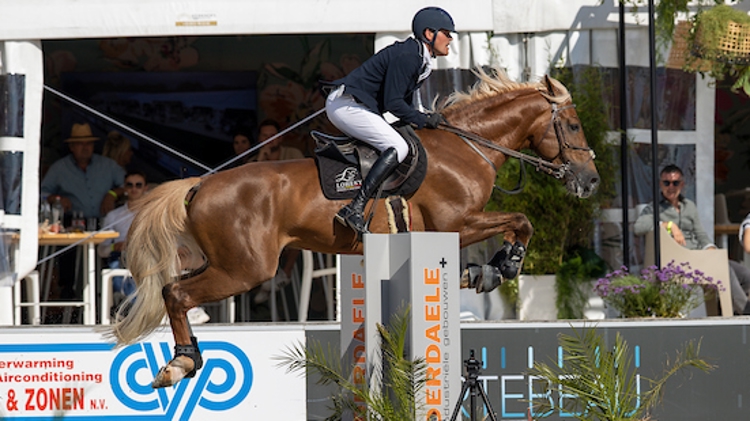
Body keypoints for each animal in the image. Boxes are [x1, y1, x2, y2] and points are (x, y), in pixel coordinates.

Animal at [106, 67, 604, 386]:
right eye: (573, 126)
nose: (591, 181)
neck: (467, 147)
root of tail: (200, 184)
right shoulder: (456, 223)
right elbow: (522, 221)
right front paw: (504, 265)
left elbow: (513, 226)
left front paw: (482, 271)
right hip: (244, 269)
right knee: (177, 293)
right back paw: (182, 364)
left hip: (225, 263)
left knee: (172, 289)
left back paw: (182, 362)